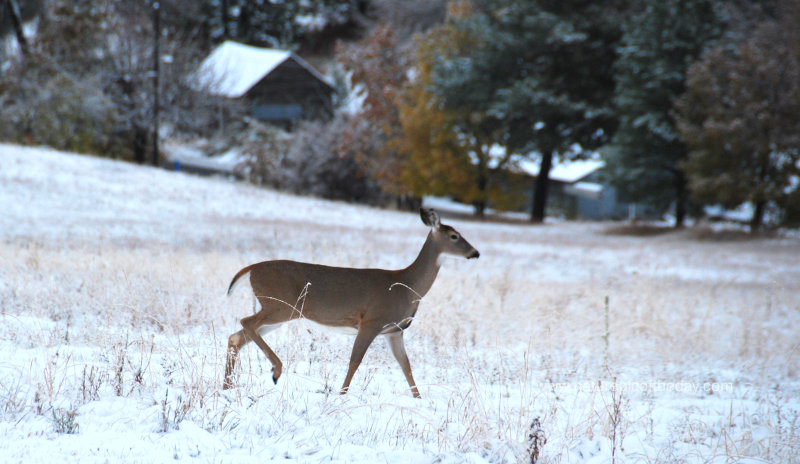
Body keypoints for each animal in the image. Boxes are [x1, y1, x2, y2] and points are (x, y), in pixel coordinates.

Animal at [222, 208, 478, 396]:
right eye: (454, 236)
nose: (475, 253)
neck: (407, 287)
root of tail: (250, 270)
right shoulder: (371, 322)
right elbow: (355, 360)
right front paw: (342, 394)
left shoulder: (395, 331)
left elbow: (405, 365)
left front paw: (418, 399)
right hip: (280, 305)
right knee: (246, 322)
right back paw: (275, 371)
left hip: (278, 313)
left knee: (237, 336)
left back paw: (227, 386)